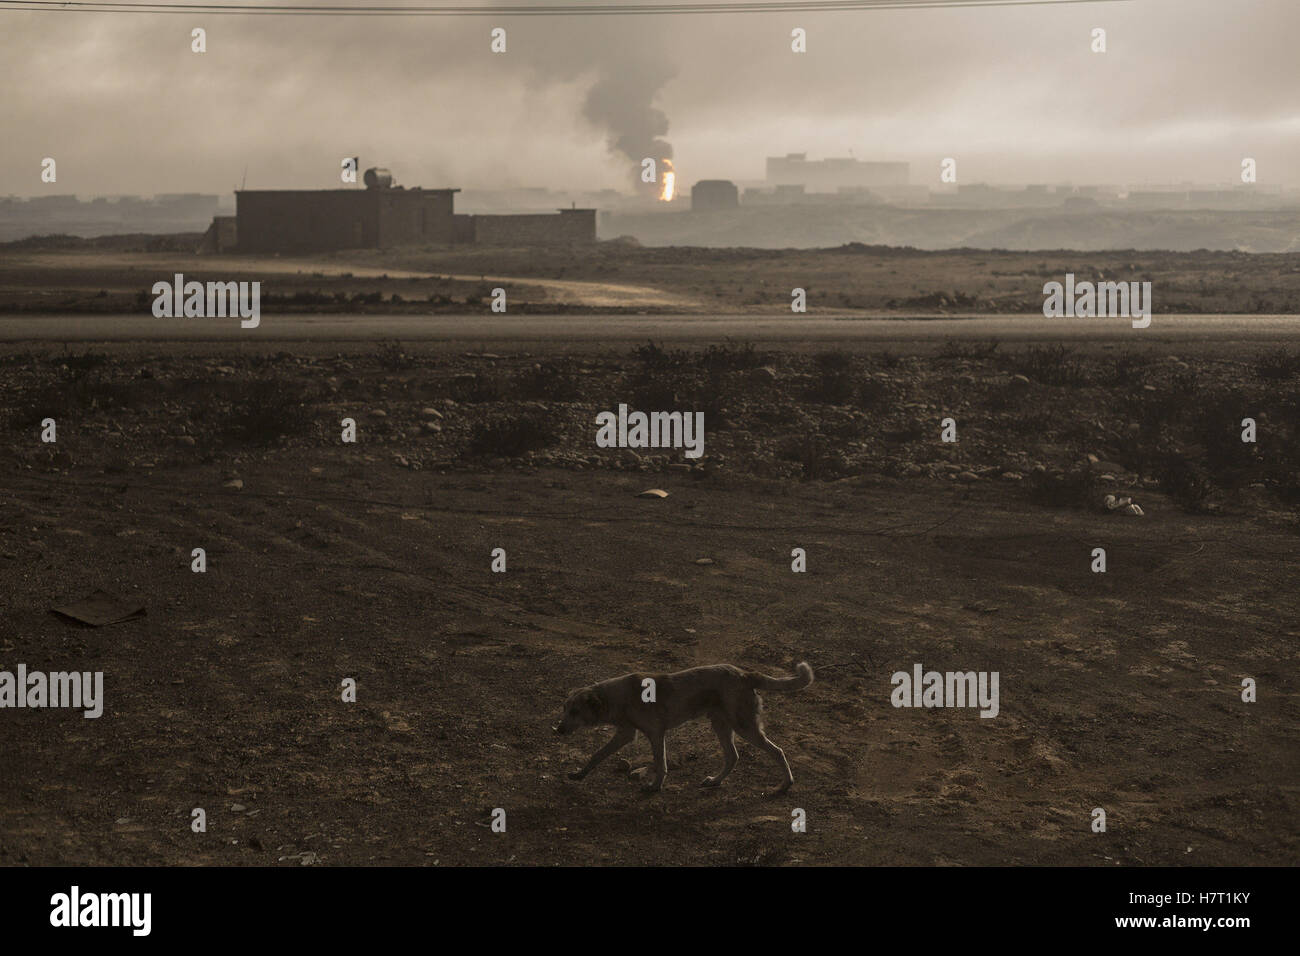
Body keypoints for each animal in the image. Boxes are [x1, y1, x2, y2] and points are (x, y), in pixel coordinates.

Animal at [556, 660, 811, 796]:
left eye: (575, 711)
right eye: (565, 708)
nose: (558, 730)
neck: (616, 696)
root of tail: (744, 673)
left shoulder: (655, 734)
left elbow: (660, 764)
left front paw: (655, 786)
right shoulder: (625, 733)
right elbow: (597, 755)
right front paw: (579, 774)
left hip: (745, 727)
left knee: (777, 751)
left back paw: (785, 785)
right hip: (721, 725)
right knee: (733, 756)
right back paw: (715, 781)